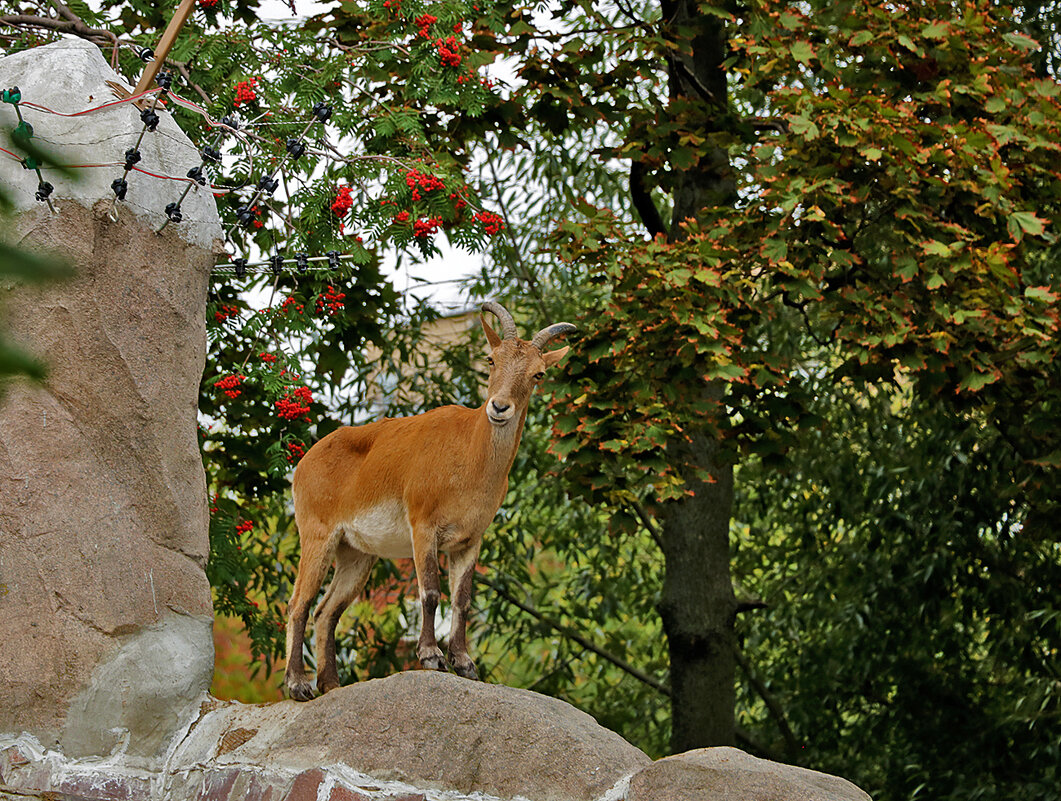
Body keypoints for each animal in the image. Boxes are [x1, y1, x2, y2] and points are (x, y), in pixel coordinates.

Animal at [282, 301, 577, 700]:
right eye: (491, 359)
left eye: (538, 374)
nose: (500, 408)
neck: (468, 458)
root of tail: (304, 463)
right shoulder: (423, 526)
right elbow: (431, 592)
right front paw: (431, 656)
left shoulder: (469, 541)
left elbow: (462, 599)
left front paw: (465, 663)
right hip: (317, 534)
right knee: (299, 603)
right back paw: (298, 684)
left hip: (356, 553)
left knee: (326, 610)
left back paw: (331, 684)